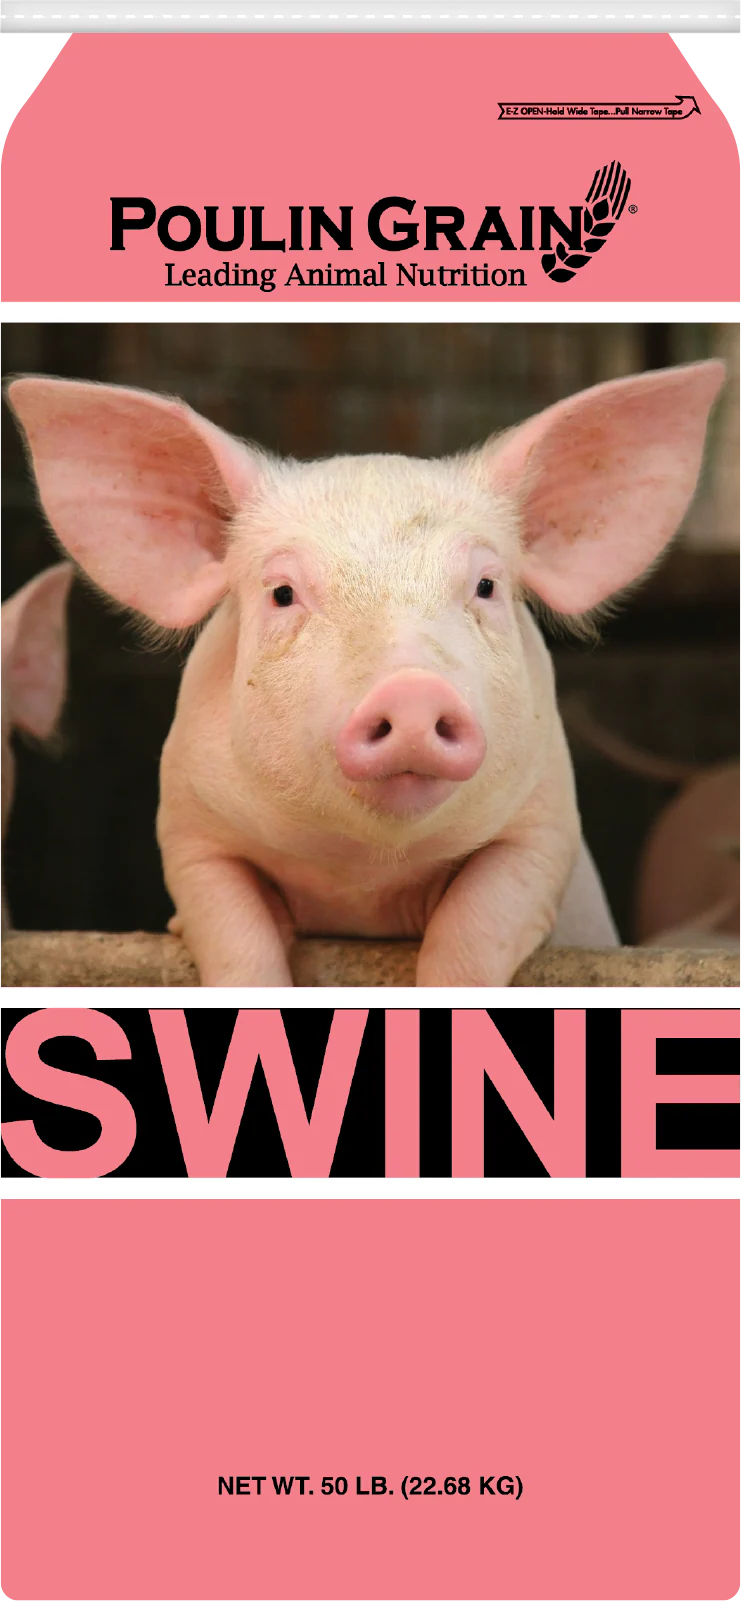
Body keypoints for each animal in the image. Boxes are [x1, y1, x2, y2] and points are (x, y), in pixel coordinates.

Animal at [6, 362, 723, 985]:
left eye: (486, 585)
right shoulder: (189, 828)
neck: (364, 875)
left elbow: (475, 928)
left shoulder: (544, 826)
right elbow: (234, 934)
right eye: (282, 593)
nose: (411, 690)